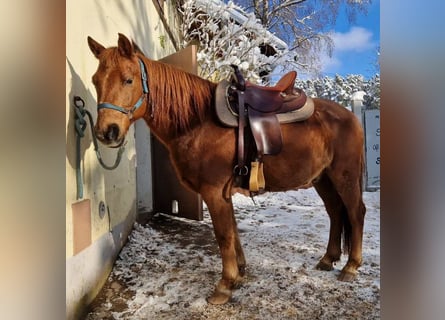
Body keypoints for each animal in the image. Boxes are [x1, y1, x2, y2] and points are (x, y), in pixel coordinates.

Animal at [88, 33, 366, 304]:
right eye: (95, 81)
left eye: (128, 80)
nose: (107, 132)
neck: (198, 121)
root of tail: (351, 116)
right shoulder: (225, 192)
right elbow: (233, 232)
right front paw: (239, 274)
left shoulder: (213, 192)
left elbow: (223, 236)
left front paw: (224, 285)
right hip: (323, 180)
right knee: (335, 212)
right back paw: (328, 259)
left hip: (345, 177)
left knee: (355, 213)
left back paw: (351, 267)